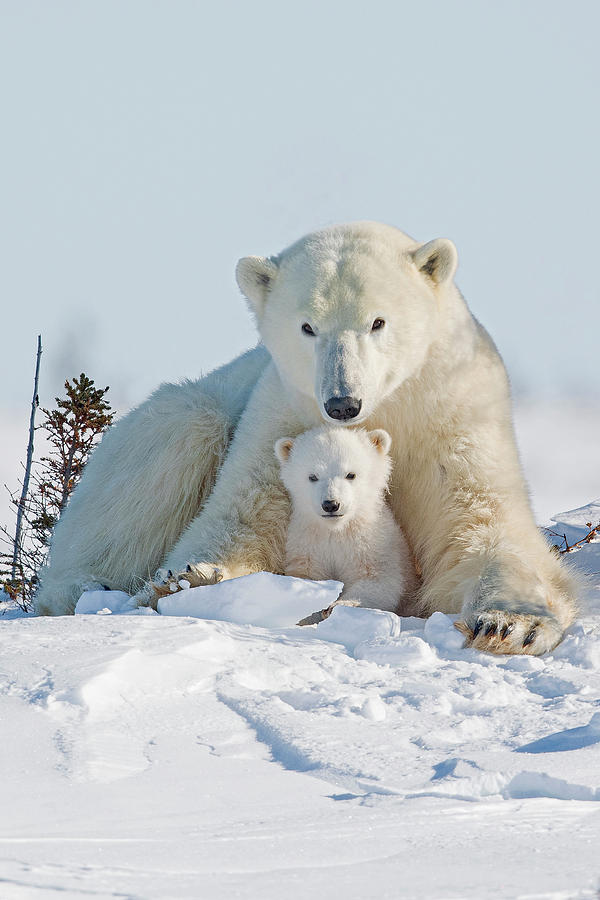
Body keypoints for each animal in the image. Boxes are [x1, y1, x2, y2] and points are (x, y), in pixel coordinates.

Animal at [274, 426, 414, 616]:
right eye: (312, 476)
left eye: (351, 474)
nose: (331, 504)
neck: (336, 530)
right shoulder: (308, 544)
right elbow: (306, 576)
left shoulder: (373, 544)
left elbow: (379, 580)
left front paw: (338, 606)